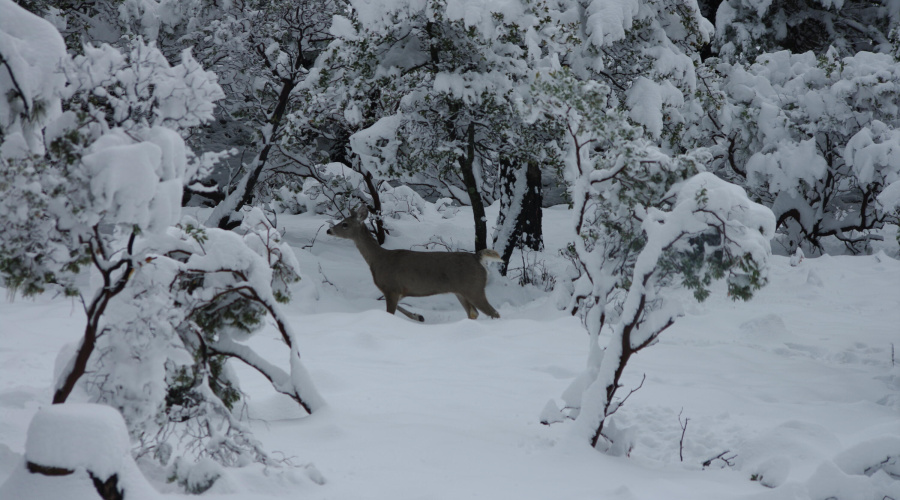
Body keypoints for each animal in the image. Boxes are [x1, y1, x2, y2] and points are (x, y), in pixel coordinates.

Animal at [326, 205, 502, 321]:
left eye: (344, 224)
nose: (329, 230)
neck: (378, 260)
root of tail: (478, 258)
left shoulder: (391, 287)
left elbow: (390, 312)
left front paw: (416, 316)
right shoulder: (399, 291)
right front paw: (418, 316)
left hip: (474, 288)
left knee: (494, 313)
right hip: (461, 291)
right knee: (474, 313)